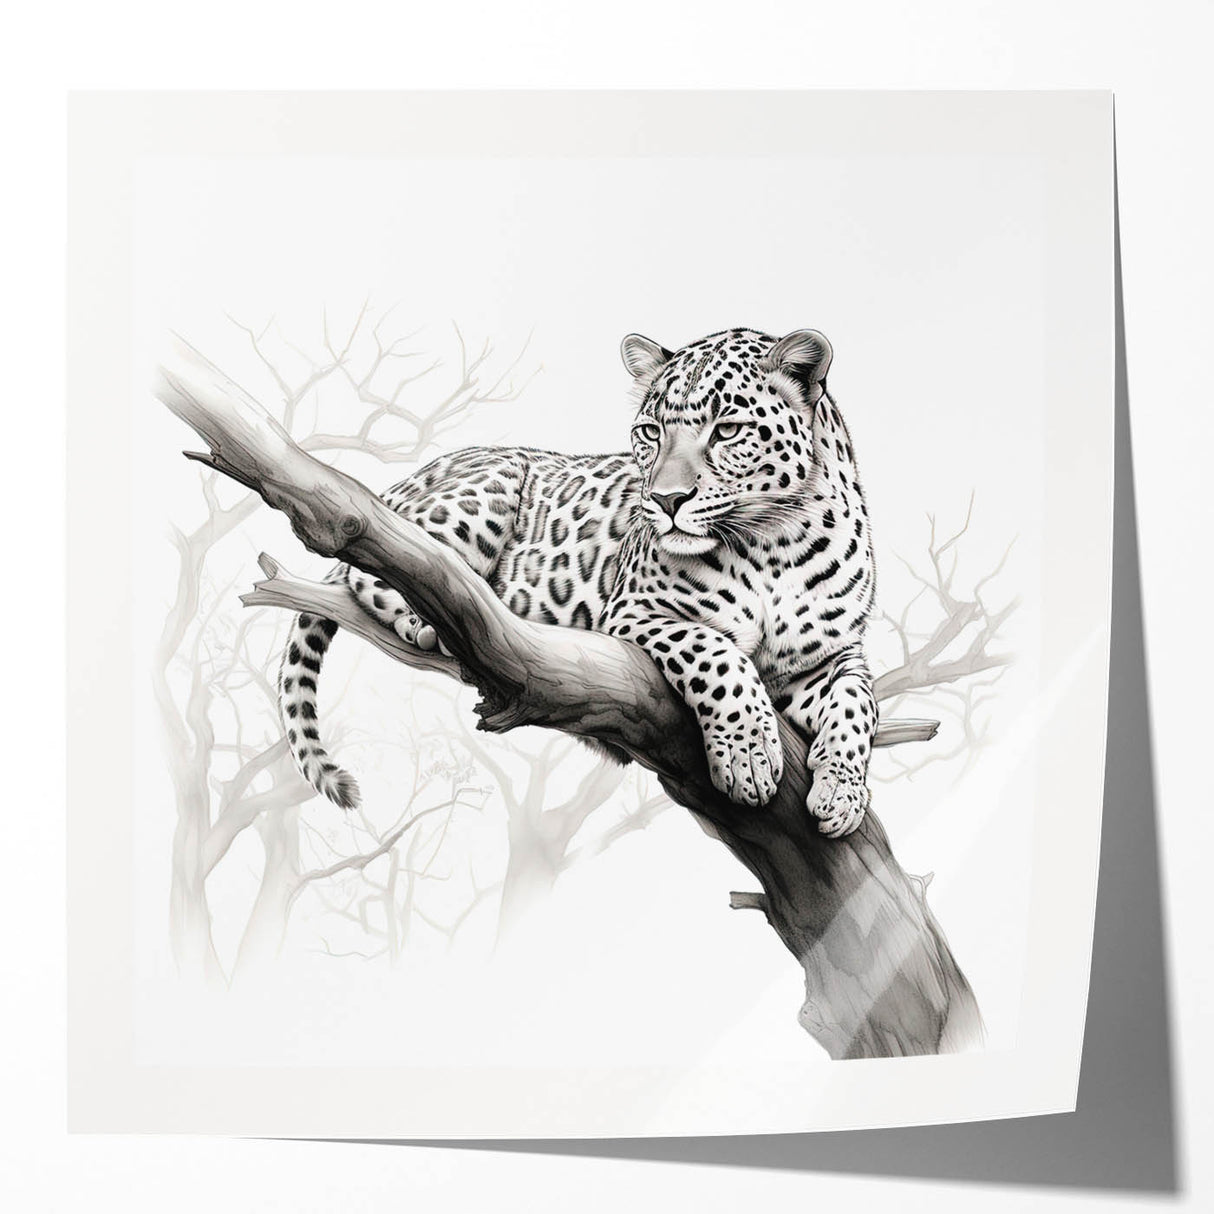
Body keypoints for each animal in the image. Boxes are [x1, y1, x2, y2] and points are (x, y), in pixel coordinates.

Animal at [278, 327, 879, 837]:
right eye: (650, 432)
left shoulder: (831, 654)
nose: (665, 500)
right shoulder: (634, 611)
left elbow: (858, 703)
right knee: (384, 563)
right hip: (481, 495)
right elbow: (717, 654)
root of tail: (410, 477)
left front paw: (842, 794)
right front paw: (748, 755)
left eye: (727, 430)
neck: (775, 547)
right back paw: (428, 617)